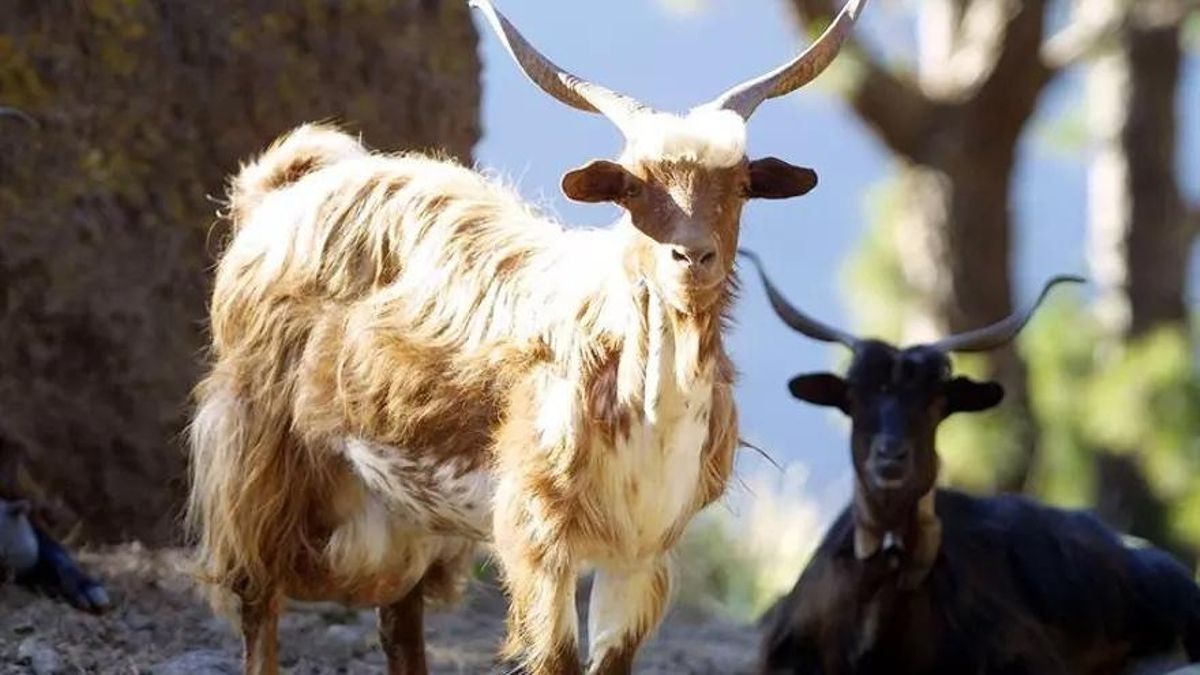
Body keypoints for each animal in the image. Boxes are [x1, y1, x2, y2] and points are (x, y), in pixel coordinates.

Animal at [186, 2, 868, 673]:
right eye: (631, 188)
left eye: (743, 186)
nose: (692, 257)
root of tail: (283, 189)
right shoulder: (540, 533)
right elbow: (557, 659)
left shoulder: (641, 551)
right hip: (257, 456)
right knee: (258, 599)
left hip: (407, 510)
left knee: (400, 618)